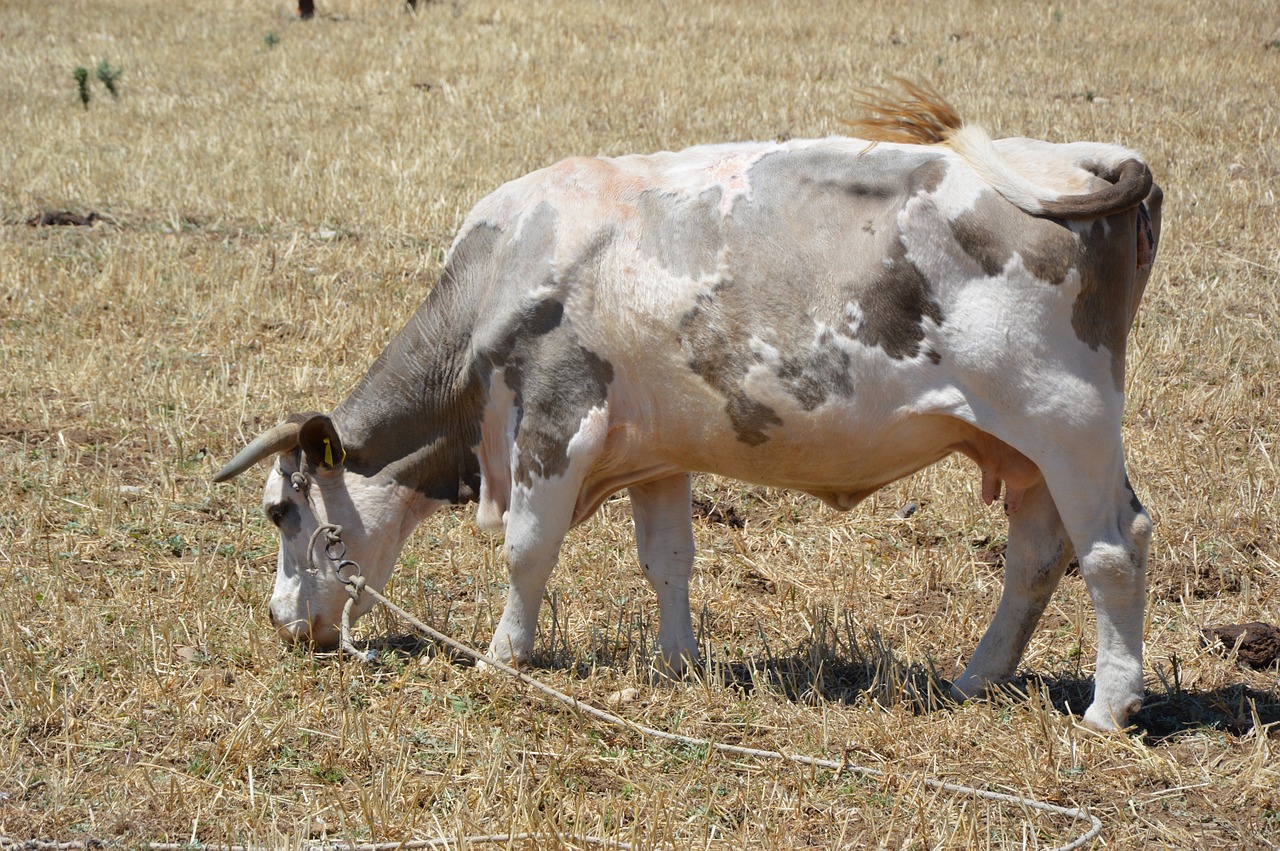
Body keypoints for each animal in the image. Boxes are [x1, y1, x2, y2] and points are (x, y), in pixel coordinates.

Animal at [217, 84, 1162, 731]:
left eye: (281, 511)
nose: (280, 621)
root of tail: (1084, 156)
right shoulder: (656, 454)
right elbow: (668, 559)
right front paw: (677, 663)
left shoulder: (556, 424)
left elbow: (526, 552)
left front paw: (499, 659)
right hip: (1025, 448)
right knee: (1036, 556)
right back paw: (974, 679)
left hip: (1067, 421)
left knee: (1113, 548)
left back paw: (1107, 708)